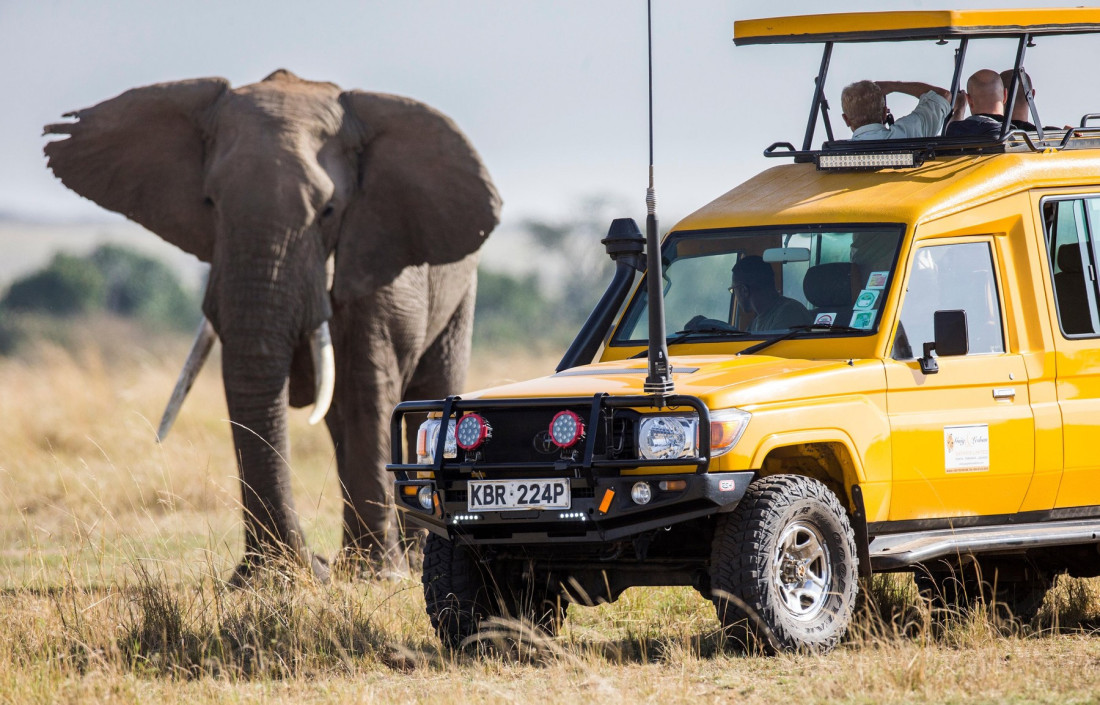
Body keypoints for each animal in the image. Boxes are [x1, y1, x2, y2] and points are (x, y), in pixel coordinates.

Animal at [45, 68, 501, 580]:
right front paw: (283, 579)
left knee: (427, 391)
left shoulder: (378, 251)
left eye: (327, 211)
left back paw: (411, 554)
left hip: (461, 286)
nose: (310, 565)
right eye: (210, 203)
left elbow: (368, 388)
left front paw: (376, 575)